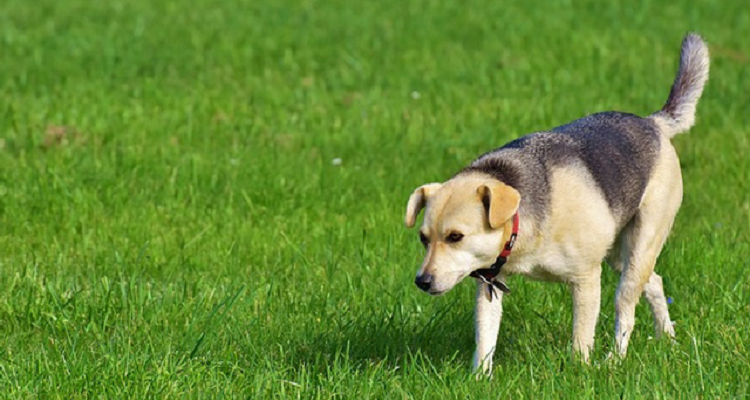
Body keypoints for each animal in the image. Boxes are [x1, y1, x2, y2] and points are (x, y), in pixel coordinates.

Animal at [406, 32, 712, 374]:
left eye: (455, 236)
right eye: (423, 239)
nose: (422, 281)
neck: (521, 225)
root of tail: (653, 124)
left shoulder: (586, 279)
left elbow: (581, 336)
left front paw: (580, 370)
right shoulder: (490, 284)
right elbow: (485, 337)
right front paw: (479, 378)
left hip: (641, 244)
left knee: (626, 305)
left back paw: (615, 358)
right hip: (619, 253)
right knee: (655, 282)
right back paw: (667, 338)